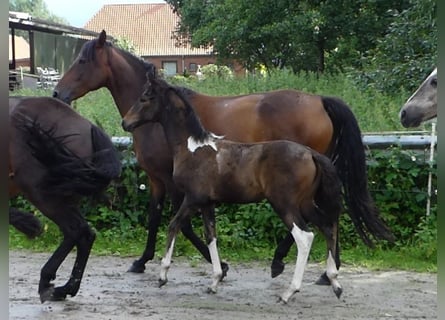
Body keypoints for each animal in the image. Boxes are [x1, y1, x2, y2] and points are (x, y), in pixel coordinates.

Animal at [9, 97, 121, 302]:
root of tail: (87, 126)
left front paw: (30, 225)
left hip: (43, 194)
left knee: (76, 231)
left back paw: (48, 283)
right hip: (65, 196)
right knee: (84, 234)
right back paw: (65, 288)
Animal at [53, 30, 394, 280]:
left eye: (82, 61)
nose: (58, 93)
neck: (164, 120)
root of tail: (319, 100)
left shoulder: (172, 182)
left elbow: (180, 223)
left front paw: (217, 264)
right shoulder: (158, 180)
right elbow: (155, 218)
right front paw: (143, 260)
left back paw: (282, 262)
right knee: (329, 214)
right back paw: (326, 270)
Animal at [121, 71, 344, 304]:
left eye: (145, 97)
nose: (125, 122)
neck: (192, 148)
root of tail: (311, 154)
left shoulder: (191, 198)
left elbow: (173, 226)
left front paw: (163, 275)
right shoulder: (207, 203)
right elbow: (211, 236)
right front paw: (215, 280)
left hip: (285, 204)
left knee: (304, 237)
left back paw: (289, 291)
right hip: (306, 203)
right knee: (327, 226)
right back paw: (334, 282)